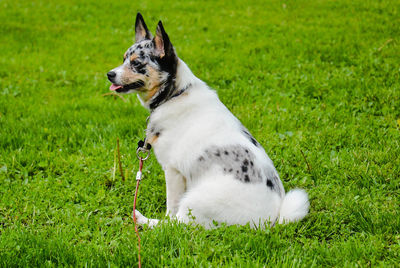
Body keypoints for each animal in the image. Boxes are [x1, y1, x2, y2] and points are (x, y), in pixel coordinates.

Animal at [107, 13, 310, 229]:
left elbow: (171, 209)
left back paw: (143, 219)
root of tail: (271, 221)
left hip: (194, 199)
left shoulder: (173, 172)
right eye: (123, 59)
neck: (175, 94)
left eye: (136, 63)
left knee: (175, 223)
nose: (109, 74)